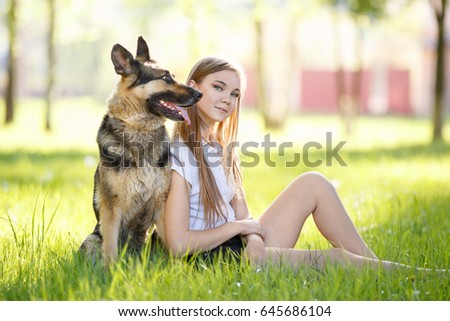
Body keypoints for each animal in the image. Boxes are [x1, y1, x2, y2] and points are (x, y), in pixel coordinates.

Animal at [79, 36, 202, 264]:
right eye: (165, 77)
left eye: (173, 76)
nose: (200, 94)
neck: (140, 129)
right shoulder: (111, 209)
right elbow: (110, 250)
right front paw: (111, 271)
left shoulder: (162, 204)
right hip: (93, 238)